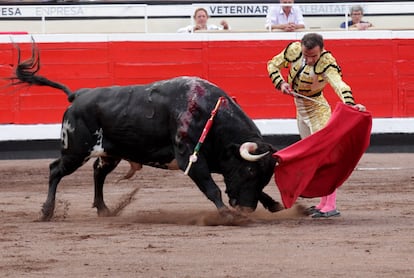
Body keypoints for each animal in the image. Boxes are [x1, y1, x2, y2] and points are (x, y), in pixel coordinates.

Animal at [13, 45, 284, 220]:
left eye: (265, 175)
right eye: (249, 170)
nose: (246, 210)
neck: (210, 114)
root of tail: (79, 95)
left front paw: (274, 204)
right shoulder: (190, 158)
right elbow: (211, 187)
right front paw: (226, 214)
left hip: (110, 152)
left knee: (98, 173)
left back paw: (103, 210)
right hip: (76, 150)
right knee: (55, 170)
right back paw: (47, 212)